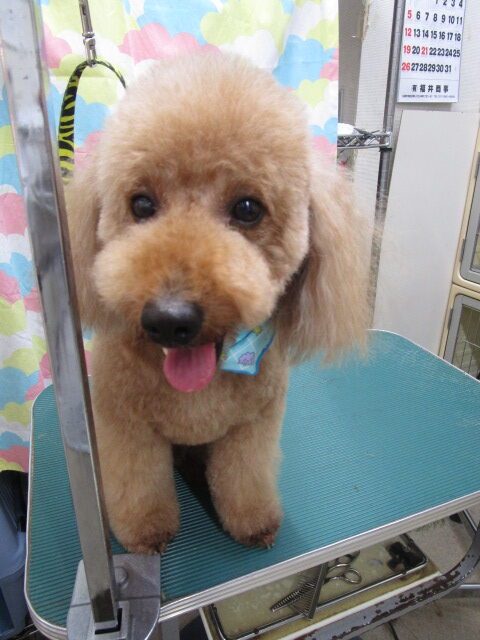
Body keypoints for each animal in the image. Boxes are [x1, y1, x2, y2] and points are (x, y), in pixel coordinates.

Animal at [67, 53, 369, 553]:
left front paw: (252, 520)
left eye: (248, 209)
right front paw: (145, 529)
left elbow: (244, 476)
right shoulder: (125, 424)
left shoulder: (254, 425)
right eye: (141, 204)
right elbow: (138, 481)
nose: (169, 320)